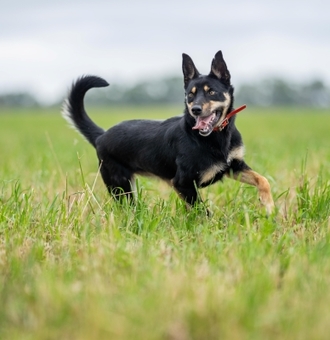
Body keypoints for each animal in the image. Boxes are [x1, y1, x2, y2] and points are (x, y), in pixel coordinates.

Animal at [63, 49, 274, 215]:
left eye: (211, 92)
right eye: (190, 95)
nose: (195, 109)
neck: (214, 137)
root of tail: (101, 135)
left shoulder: (234, 167)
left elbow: (263, 180)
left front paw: (269, 206)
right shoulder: (182, 183)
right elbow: (203, 211)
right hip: (120, 186)